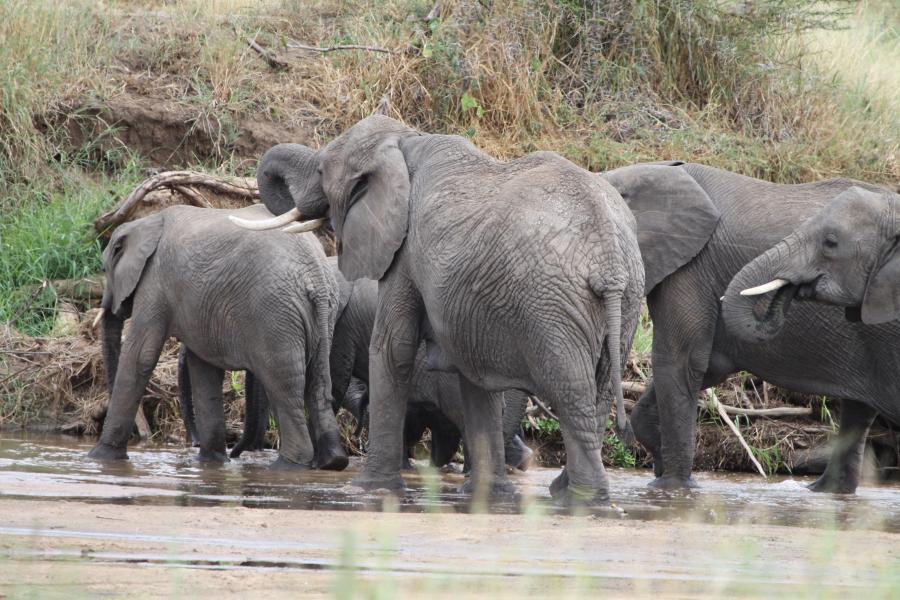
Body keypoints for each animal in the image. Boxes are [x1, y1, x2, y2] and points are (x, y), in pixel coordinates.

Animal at [88, 204, 348, 471]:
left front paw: (99, 457)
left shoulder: (155, 281)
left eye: (104, 269)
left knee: (283, 386)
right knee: (317, 381)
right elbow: (204, 370)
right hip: (322, 315)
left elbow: (141, 355)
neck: (146, 221)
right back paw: (331, 462)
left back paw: (287, 467)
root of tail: (316, 277)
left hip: (275, 315)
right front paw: (211, 463)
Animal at [232, 112, 644, 504]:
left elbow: (392, 346)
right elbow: (474, 375)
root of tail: (608, 255)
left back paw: (581, 501)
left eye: (321, 171)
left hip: (552, 307)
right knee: (598, 393)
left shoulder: (405, 248)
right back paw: (563, 492)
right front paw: (485, 495)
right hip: (626, 301)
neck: (405, 139)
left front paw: (367, 489)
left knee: (572, 394)